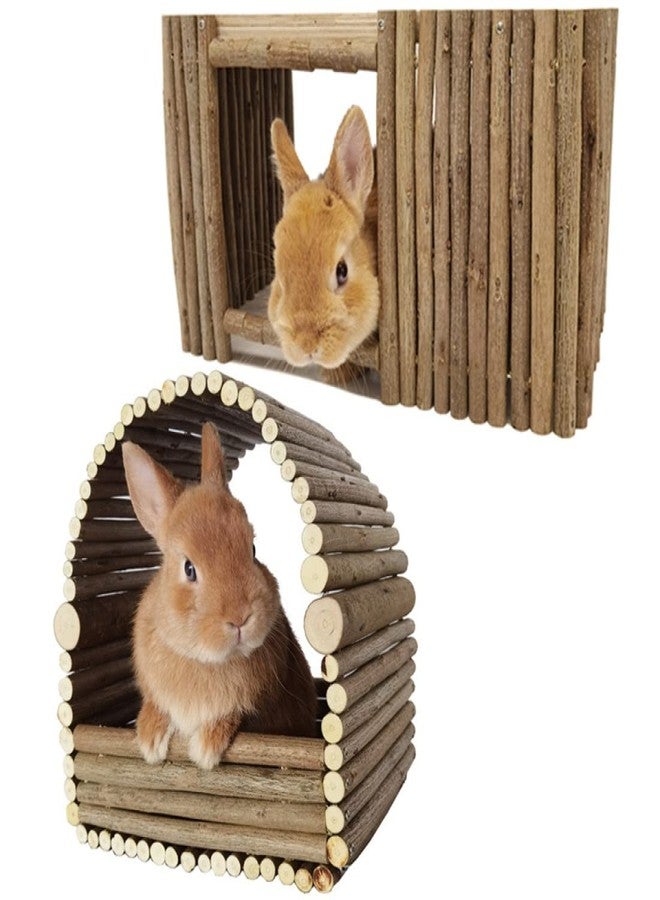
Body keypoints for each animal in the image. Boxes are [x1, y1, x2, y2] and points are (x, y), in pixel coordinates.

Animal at [121, 422, 318, 770]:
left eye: (252, 549)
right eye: (189, 569)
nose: (239, 618)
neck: (205, 660)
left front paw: (206, 750)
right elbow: (155, 707)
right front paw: (150, 741)